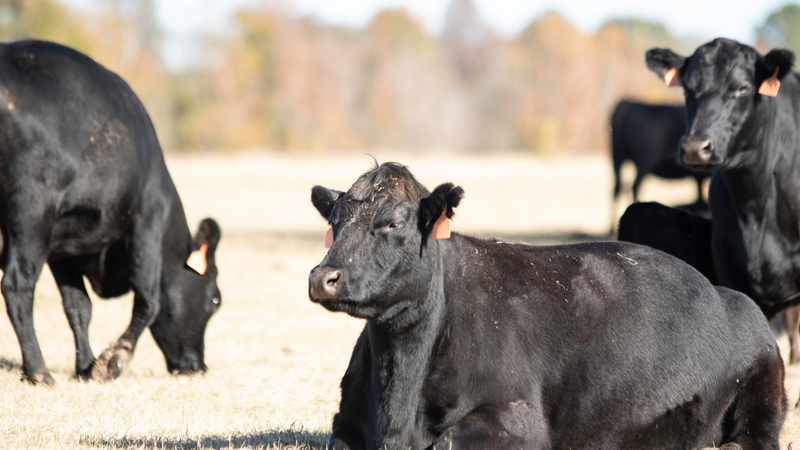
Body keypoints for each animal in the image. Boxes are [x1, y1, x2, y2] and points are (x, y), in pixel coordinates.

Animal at [0, 40, 222, 385]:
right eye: (214, 300)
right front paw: (112, 360)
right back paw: (39, 371)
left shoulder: (63, 248)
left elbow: (79, 306)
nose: (198, 367)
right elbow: (149, 300)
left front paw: (86, 367)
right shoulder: (147, 222)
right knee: (16, 285)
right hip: (31, 213)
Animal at [309, 162, 786, 450]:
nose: (321, 277)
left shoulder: (520, 423)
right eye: (334, 222)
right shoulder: (346, 422)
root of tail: (723, 293)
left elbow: (447, 441)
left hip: (765, 382)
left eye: (393, 223)